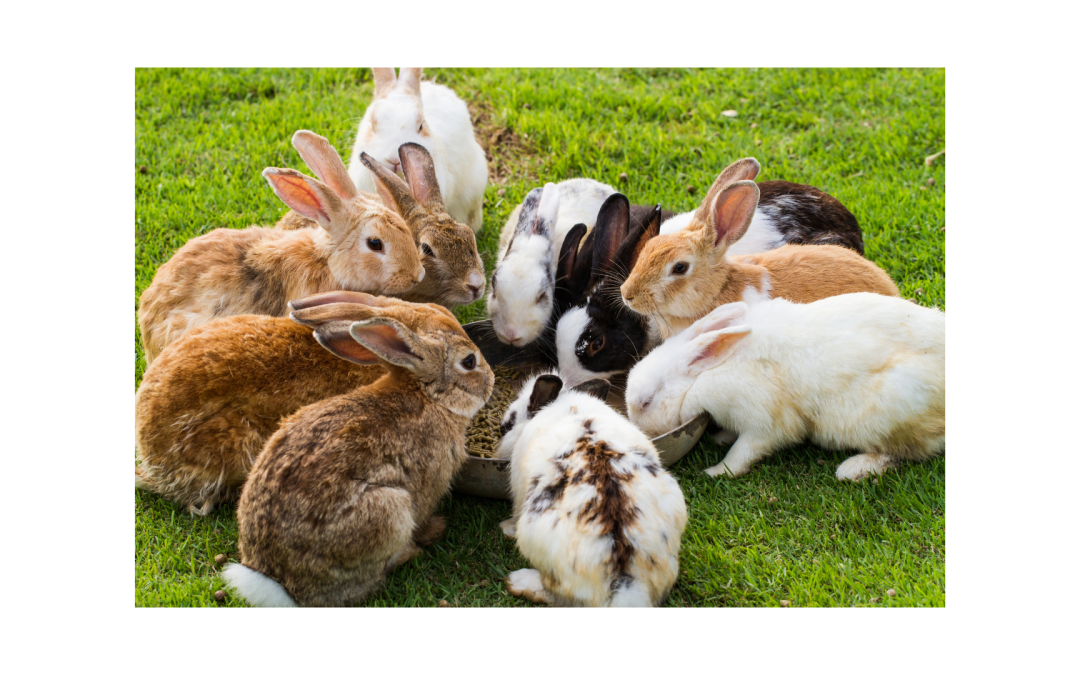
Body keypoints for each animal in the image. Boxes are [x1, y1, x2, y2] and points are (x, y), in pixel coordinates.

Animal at [221, 299, 494, 607]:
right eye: (469, 362)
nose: (492, 378)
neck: (429, 396)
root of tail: (279, 583)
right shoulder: (429, 486)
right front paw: (433, 529)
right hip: (389, 511)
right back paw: (410, 552)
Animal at [494, 373, 687, 607]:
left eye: (508, 424)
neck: (568, 407)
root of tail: (624, 583)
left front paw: (506, 527)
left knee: (555, 595)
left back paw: (519, 581)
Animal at [625, 294, 945, 481]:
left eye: (646, 402)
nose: (641, 432)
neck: (704, 375)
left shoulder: (764, 423)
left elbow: (743, 453)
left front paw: (716, 472)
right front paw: (720, 438)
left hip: (888, 412)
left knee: (905, 452)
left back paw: (854, 469)